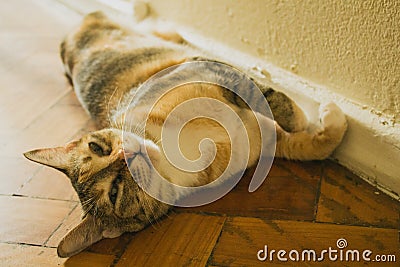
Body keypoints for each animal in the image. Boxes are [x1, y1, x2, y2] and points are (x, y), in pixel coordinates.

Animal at [23, 11, 346, 258]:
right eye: (114, 192)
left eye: (98, 147)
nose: (127, 155)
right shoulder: (261, 140)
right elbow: (309, 145)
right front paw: (324, 118)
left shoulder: (210, 71)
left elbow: (268, 98)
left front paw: (313, 113)